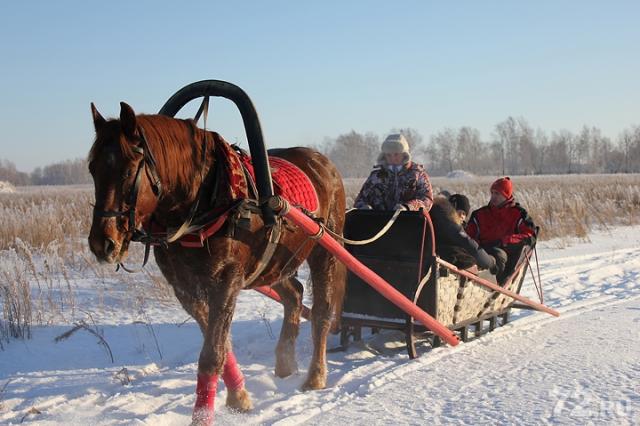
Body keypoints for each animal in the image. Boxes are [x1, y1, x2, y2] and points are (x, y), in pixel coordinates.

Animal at [87, 101, 344, 424]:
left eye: (129, 170)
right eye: (92, 168)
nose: (102, 243)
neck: (205, 204)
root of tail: (322, 162)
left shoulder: (226, 281)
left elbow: (211, 355)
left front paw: (204, 415)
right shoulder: (185, 288)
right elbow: (220, 342)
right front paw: (239, 396)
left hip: (325, 250)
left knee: (322, 311)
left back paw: (315, 376)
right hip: (275, 263)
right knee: (295, 295)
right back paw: (286, 363)